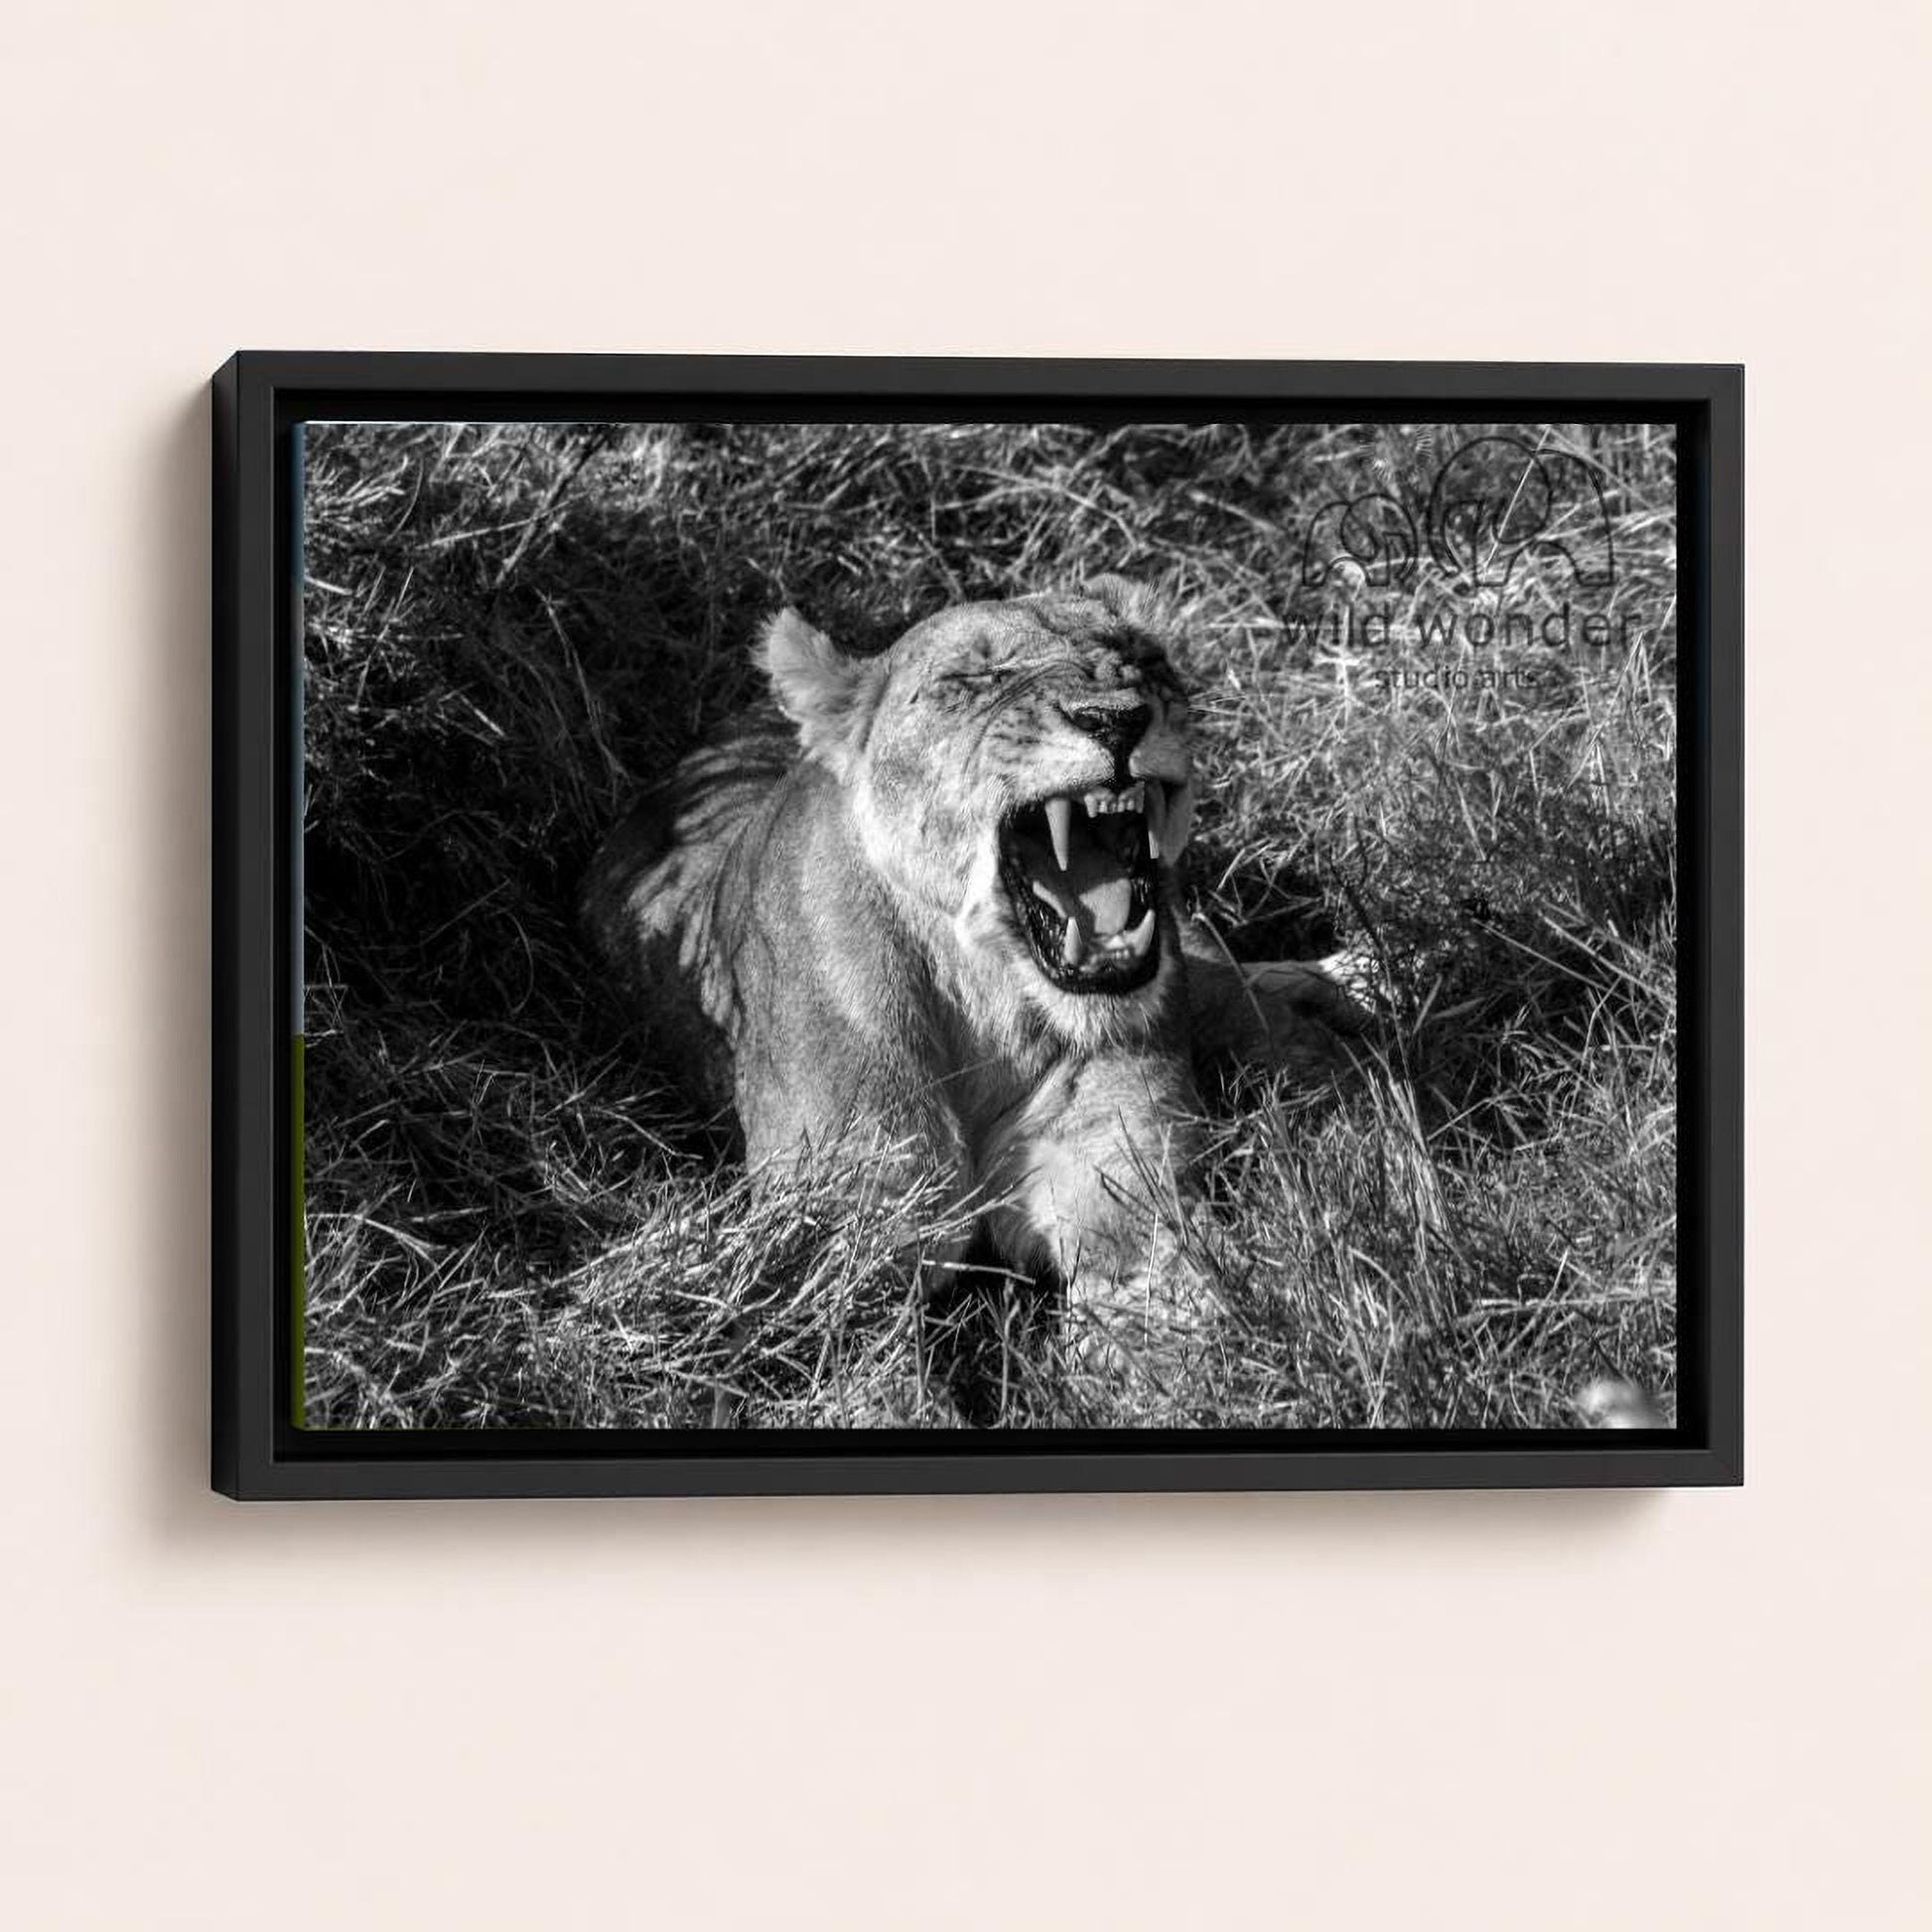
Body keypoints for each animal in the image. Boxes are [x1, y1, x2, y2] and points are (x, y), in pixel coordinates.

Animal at [583, 581, 1360, 1386]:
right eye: (972, 678)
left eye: (1143, 658)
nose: (1116, 718)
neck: (987, 1000)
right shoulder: (846, 1238)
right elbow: (865, 1383)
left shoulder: (1121, 1182)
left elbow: (1174, 1334)